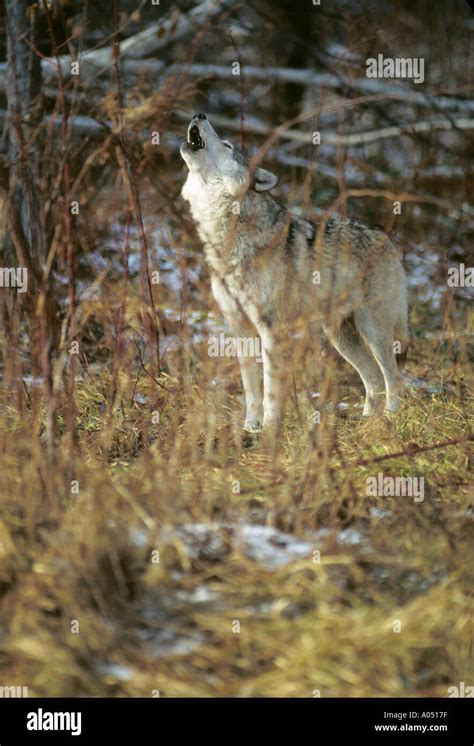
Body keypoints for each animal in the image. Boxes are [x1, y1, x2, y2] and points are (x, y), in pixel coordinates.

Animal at [181, 113, 409, 431]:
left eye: (227, 145)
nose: (199, 115)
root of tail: (385, 236)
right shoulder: (240, 328)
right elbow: (251, 389)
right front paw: (250, 428)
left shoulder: (271, 331)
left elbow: (271, 390)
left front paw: (269, 429)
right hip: (340, 336)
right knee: (373, 378)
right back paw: (365, 425)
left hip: (372, 329)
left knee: (393, 376)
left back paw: (389, 419)